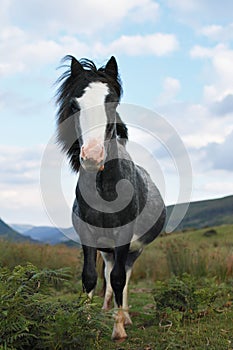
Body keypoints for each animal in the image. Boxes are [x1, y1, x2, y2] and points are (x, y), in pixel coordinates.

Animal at [56, 56, 166, 340]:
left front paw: (118, 329)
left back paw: (124, 316)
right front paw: (85, 321)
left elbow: (118, 279)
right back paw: (107, 310)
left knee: (124, 275)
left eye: (113, 101)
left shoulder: (124, 238)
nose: (92, 156)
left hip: (133, 250)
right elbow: (89, 277)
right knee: (107, 271)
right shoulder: (87, 237)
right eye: (74, 105)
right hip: (107, 249)